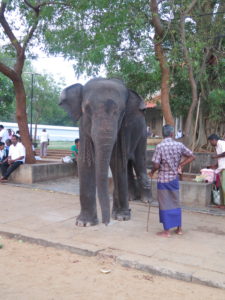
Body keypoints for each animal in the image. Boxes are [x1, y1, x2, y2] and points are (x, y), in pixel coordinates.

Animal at [59, 78, 151, 226]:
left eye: (122, 112)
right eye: (86, 109)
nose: (106, 223)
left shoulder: (123, 129)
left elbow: (117, 161)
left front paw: (122, 217)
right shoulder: (83, 126)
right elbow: (85, 161)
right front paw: (84, 223)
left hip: (143, 134)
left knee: (138, 163)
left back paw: (145, 201)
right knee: (128, 165)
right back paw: (131, 198)